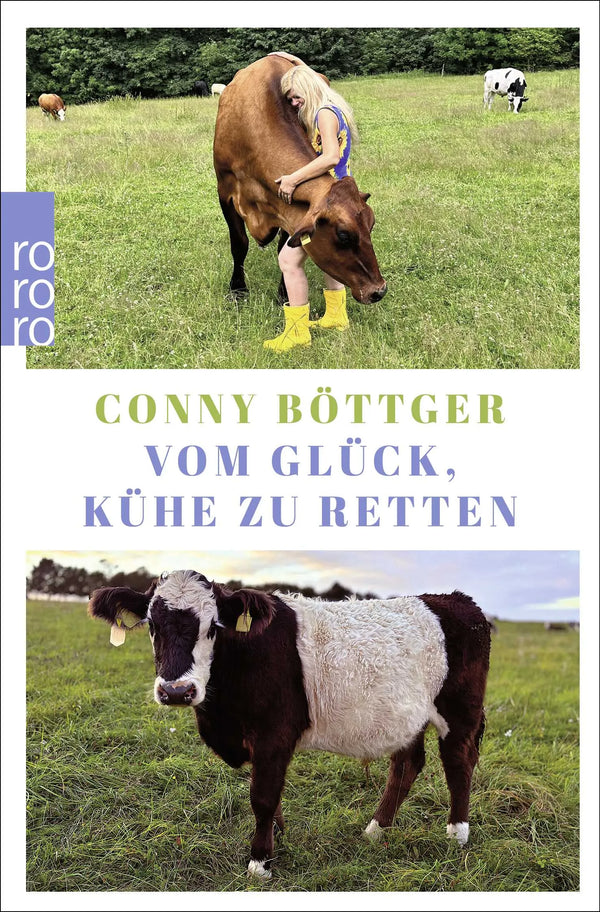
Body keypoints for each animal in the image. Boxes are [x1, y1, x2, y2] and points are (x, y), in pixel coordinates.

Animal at [89, 571, 490, 880]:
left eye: (213, 628)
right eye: (152, 626)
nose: (176, 690)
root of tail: (456, 600)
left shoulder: (273, 736)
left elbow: (263, 797)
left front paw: (260, 861)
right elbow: (272, 797)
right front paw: (277, 838)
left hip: (460, 710)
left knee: (458, 762)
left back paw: (457, 833)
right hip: (406, 718)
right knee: (406, 765)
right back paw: (377, 829)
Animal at [213, 55, 386, 305]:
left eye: (371, 225)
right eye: (343, 235)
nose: (379, 290)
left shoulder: (289, 207)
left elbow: (282, 246)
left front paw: (283, 293)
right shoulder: (225, 190)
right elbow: (239, 243)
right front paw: (237, 290)